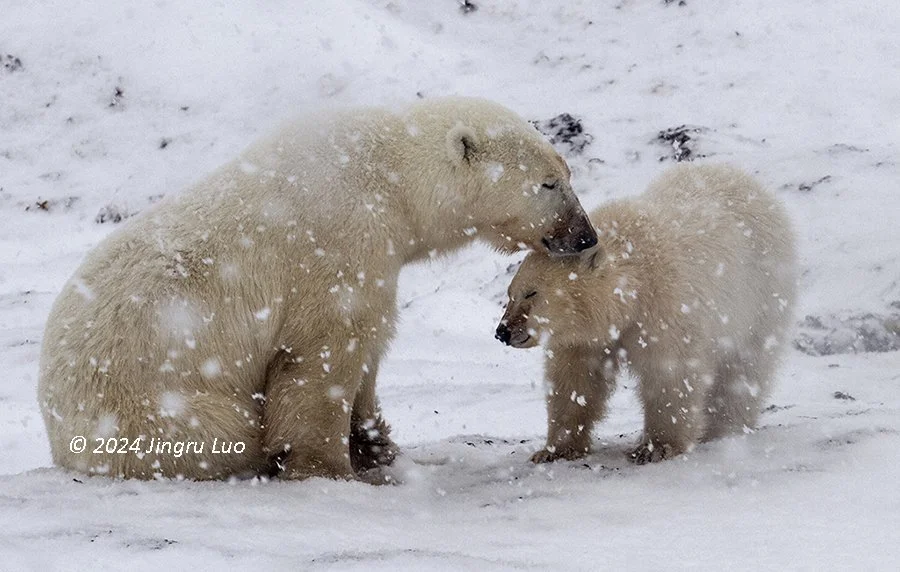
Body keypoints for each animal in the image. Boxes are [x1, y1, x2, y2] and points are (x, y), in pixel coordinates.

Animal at [38, 96, 598, 482]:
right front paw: (327, 465)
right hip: (151, 406)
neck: (389, 178)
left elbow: (370, 345)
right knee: (222, 430)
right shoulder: (338, 243)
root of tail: (58, 432)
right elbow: (323, 354)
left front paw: (377, 446)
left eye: (567, 173)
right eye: (549, 183)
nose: (586, 235)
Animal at [495, 163, 796, 464]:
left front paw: (657, 448)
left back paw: (724, 426)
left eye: (531, 293)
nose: (503, 331)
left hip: (761, 296)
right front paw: (555, 450)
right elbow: (575, 379)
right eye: (510, 294)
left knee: (744, 368)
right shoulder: (589, 336)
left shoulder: (665, 309)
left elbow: (669, 373)